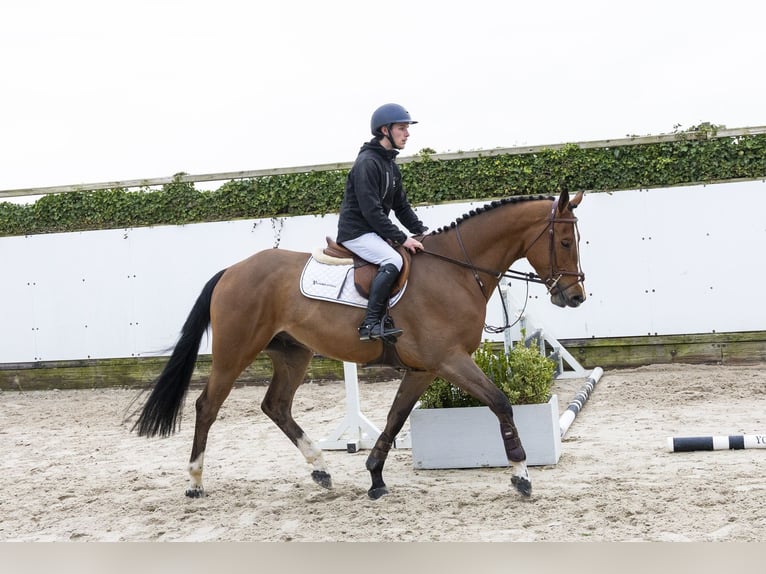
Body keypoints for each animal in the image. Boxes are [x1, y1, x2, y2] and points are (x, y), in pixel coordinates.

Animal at [132, 189, 586, 500]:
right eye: (565, 242)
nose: (575, 296)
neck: (455, 271)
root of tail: (232, 270)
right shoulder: (450, 360)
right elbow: (500, 402)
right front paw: (520, 473)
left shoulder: (425, 369)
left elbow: (395, 418)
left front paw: (375, 477)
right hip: (235, 351)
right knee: (207, 406)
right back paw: (195, 481)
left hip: (293, 353)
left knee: (276, 405)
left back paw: (320, 469)